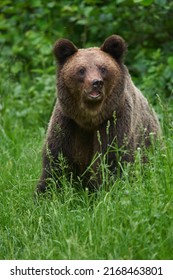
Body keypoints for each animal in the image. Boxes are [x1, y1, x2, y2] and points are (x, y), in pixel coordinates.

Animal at [36, 34, 161, 194]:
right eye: (81, 70)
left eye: (103, 68)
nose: (96, 83)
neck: (90, 118)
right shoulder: (67, 123)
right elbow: (57, 163)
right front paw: (45, 193)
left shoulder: (114, 120)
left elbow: (111, 159)